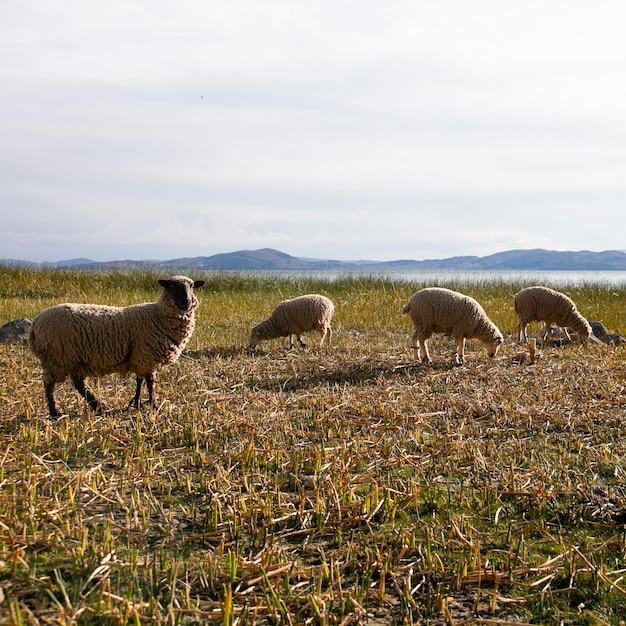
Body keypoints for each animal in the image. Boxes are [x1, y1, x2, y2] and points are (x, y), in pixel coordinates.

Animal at [28, 272, 204, 414]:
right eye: (171, 285)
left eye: (192, 286)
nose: (186, 301)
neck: (157, 315)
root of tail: (35, 323)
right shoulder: (146, 355)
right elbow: (150, 383)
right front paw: (154, 406)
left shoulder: (139, 356)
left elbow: (139, 381)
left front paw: (137, 403)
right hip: (57, 357)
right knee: (49, 385)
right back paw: (55, 412)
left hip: (73, 358)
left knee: (79, 384)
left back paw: (99, 406)